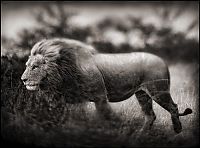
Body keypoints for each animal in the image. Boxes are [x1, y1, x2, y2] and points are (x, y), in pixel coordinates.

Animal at [21, 37, 192, 134]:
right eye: (27, 65)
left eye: (35, 67)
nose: (23, 79)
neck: (63, 71)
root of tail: (162, 60)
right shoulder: (60, 100)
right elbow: (59, 116)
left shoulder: (100, 97)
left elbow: (108, 116)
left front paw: (118, 130)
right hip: (142, 95)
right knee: (150, 115)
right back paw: (140, 135)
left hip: (158, 91)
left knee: (173, 107)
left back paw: (177, 130)